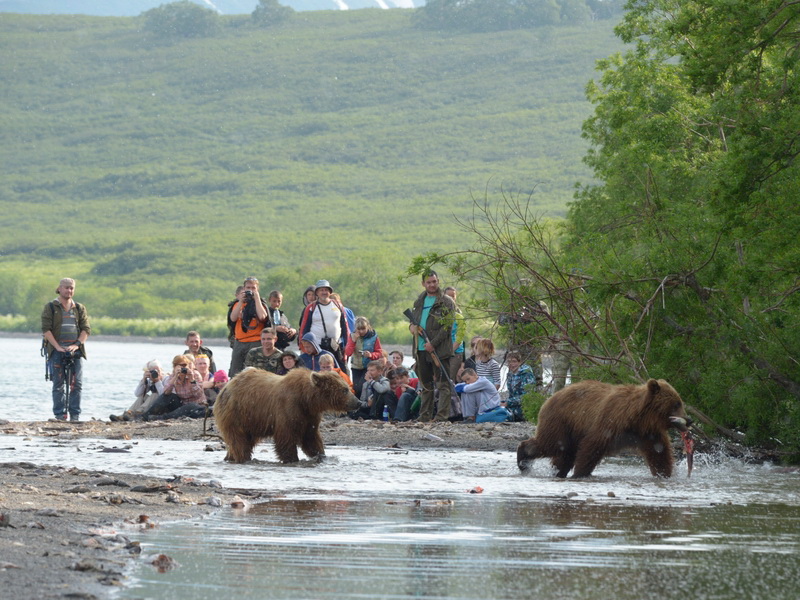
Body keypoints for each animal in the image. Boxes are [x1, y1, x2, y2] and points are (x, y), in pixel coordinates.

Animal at [216, 366, 360, 464]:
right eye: (344, 390)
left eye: (347, 388)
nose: (359, 402)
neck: (307, 399)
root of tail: (226, 387)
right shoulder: (288, 408)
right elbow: (286, 437)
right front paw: (292, 459)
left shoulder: (309, 416)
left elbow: (310, 438)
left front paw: (321, 455)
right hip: (237, 413)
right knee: (239, 440)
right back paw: (243, 458)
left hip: (250, 420)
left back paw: (229, 457)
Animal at [516, 380, 692, 478]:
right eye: (676, 404)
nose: (689, 420)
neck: (637, 418)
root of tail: (549, 397)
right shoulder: (610, 423)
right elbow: (592, 447)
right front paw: (580, 473)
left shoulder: (648, 433)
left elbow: (659, 453)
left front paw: (664, 474)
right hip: (561, 422)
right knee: (550, 444)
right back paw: (523, 460)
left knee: (564, 454)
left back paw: (557, 472)